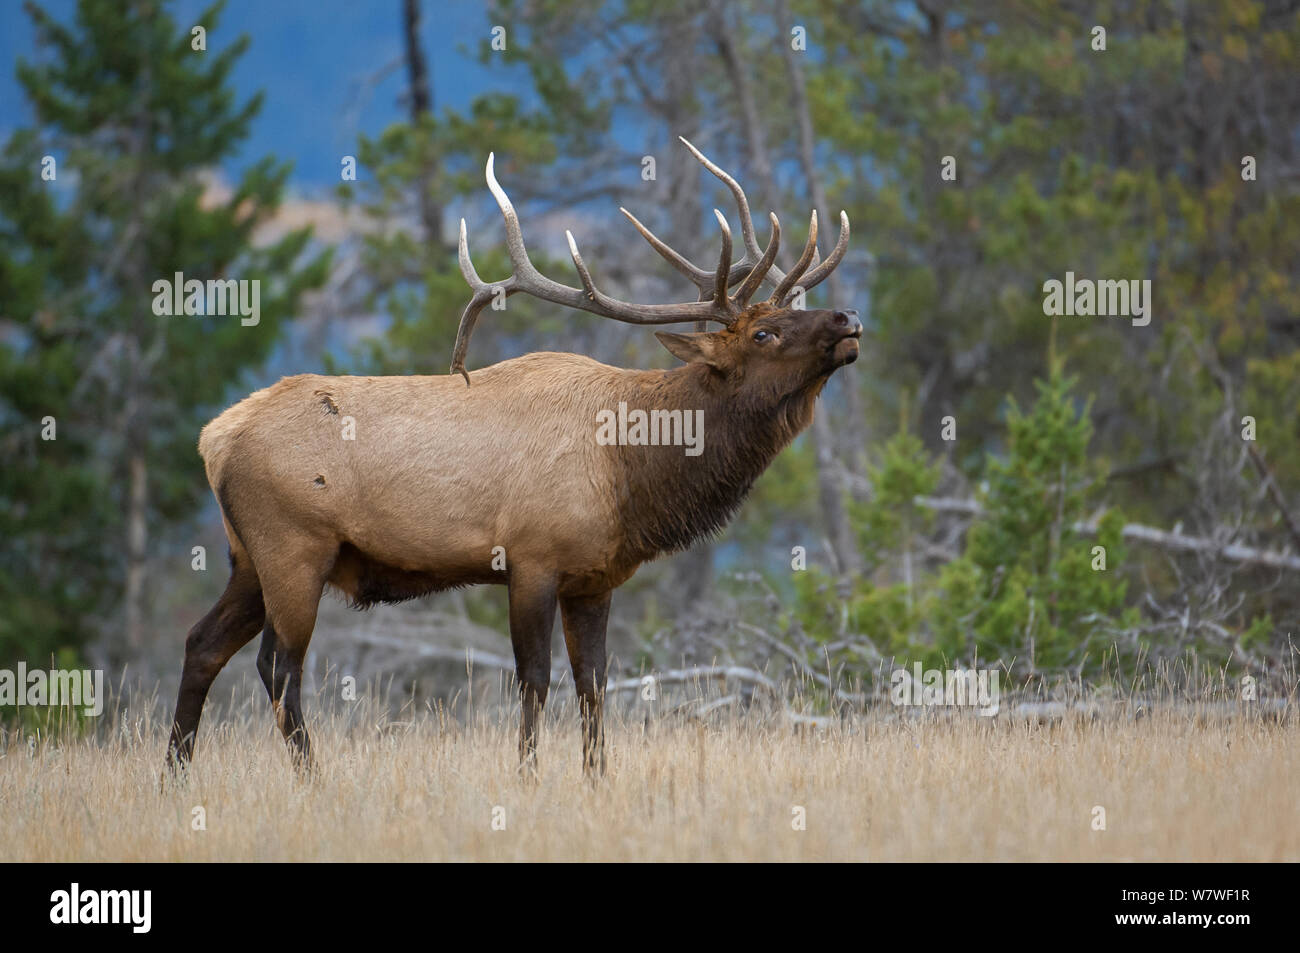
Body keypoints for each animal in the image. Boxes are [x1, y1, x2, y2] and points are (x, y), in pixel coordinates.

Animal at [167, 139, 857, 774]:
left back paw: (175, 773)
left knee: (202, 644)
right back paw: (310, 779)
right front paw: (526, 776)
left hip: (246, 558)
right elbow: (535, 680)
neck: (631, 471)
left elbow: (594, 686)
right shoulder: (531, 559)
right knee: (279, 667)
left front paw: (596, 779)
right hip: (293, 547)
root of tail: (213, 438)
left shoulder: (594, 578)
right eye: (764, 333)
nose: (849, 318)